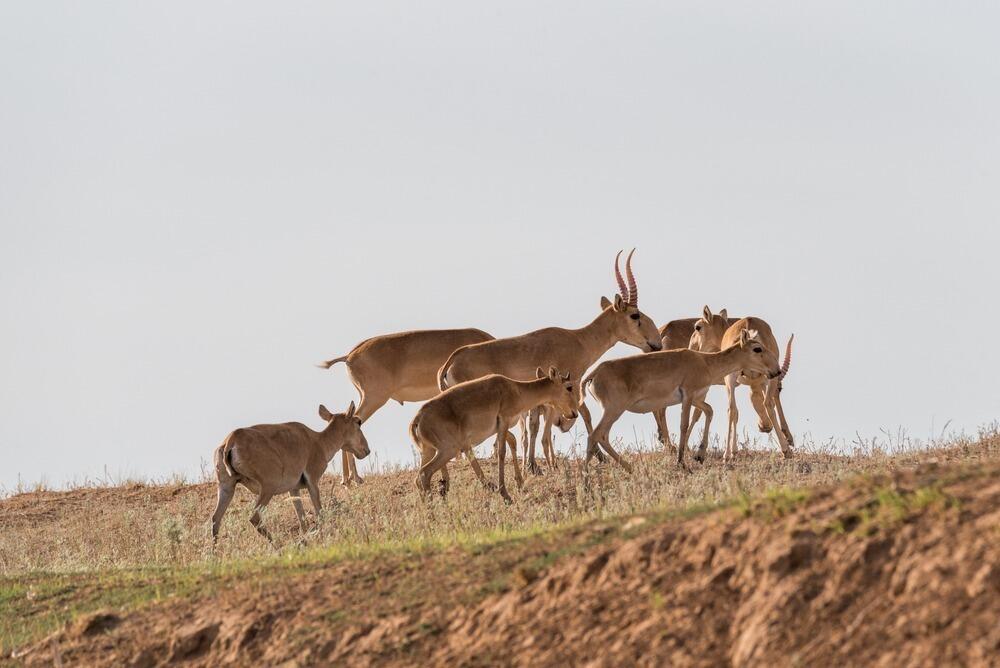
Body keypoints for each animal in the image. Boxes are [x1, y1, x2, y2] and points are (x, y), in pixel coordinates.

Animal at [212, 402, 372, 544]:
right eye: (358, 422)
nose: (367, 450)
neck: (318, 441)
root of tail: (230, 441)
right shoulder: (312, 482)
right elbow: (319, 512)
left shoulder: (293, 490)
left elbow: (302, 520)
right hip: (268, 487)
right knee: (255, 518)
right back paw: (279, 546)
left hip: (226, 487)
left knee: (215, 519)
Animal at [410, 366, 580, 500]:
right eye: (569, 387)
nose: (574, 414)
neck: (515, 389)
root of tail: (418, 419)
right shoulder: (504, 421)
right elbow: (501, 452)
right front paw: (504, 493)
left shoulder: (500, 428)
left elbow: (512, 441)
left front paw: (520, 483)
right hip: (448, 450)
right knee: (424, 474)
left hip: (429, 451)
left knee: (418, 479)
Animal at [440, 250, 664, 474]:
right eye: (635, 315)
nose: (656, 344)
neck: (578, 339)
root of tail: (452, 361)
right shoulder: (568, 385)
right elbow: (582, 414)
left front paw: (534, 465)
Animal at [584, 330, 784, 470]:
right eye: (757, 348)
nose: (776, 370)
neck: (705, 362)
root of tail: (594, 373)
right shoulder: (687, 395)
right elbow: (684, 424)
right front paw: (681, 462)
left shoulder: (696, 398)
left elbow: (709, 410)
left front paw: (700, 454)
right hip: (613, 409)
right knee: (596, 435)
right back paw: (586, 476)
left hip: (612, 411)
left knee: (602, 436)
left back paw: (628, 467)